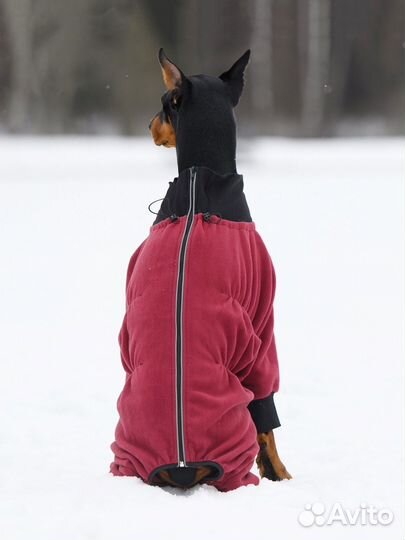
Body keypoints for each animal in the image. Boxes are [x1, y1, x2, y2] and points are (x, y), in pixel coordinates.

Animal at [109, 48, 288, 492]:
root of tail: (181, 463)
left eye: (163, 104)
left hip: (124, 449)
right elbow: (268, 418)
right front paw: (280, 472)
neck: (198, 179)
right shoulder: (263, 322)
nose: (148, 125)